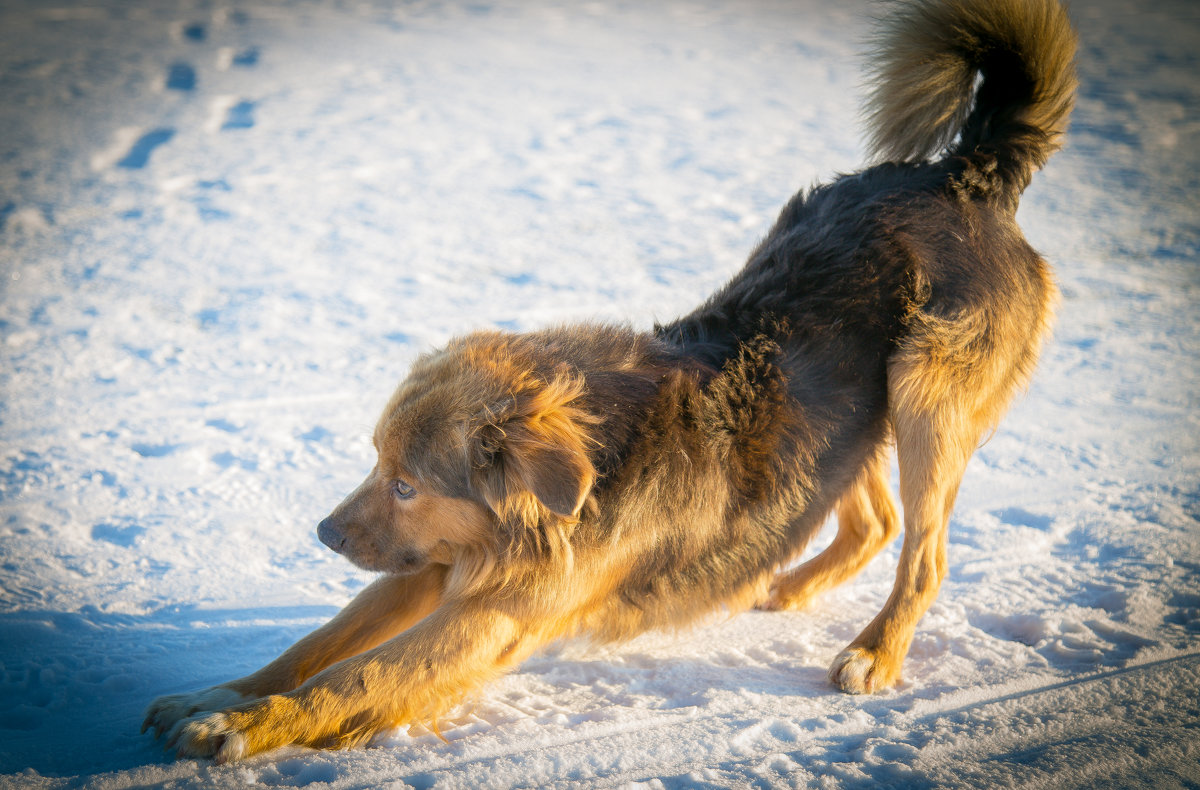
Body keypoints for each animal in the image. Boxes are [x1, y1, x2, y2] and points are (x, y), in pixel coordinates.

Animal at [142, 0, 1080, 763]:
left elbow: (353, 680)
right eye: (374, 464)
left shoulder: (493, 613)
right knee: (872, 519)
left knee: (925, 551)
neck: (565, 496)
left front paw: (240, 727)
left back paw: (875, 653)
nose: (324, 533)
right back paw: (778, 586)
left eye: (405, 483)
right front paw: (215, 696)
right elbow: (314, 646)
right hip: (853, 409)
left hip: (928, 398)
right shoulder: (435, 565)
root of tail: (967, 171)